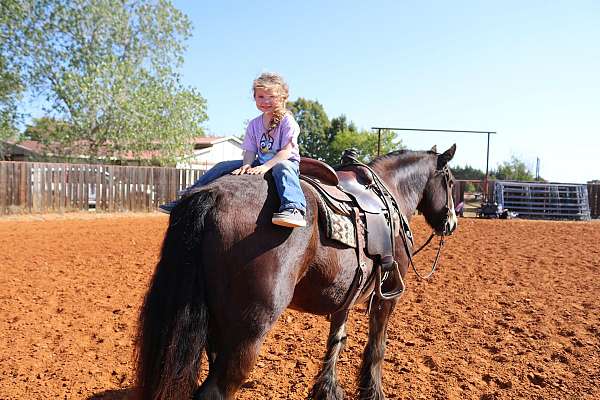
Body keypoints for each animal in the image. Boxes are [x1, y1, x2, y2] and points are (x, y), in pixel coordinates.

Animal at [134, 145, 458, 398]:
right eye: (452, 182)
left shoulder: (345, 296)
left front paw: (327, 391)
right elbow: (377, 348)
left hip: (216, 325)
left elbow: (336, 341)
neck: (390, 193)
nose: (451, 223)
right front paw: (372, 393)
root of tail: (213, 195)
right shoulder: (387, 296)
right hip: (249, 331)